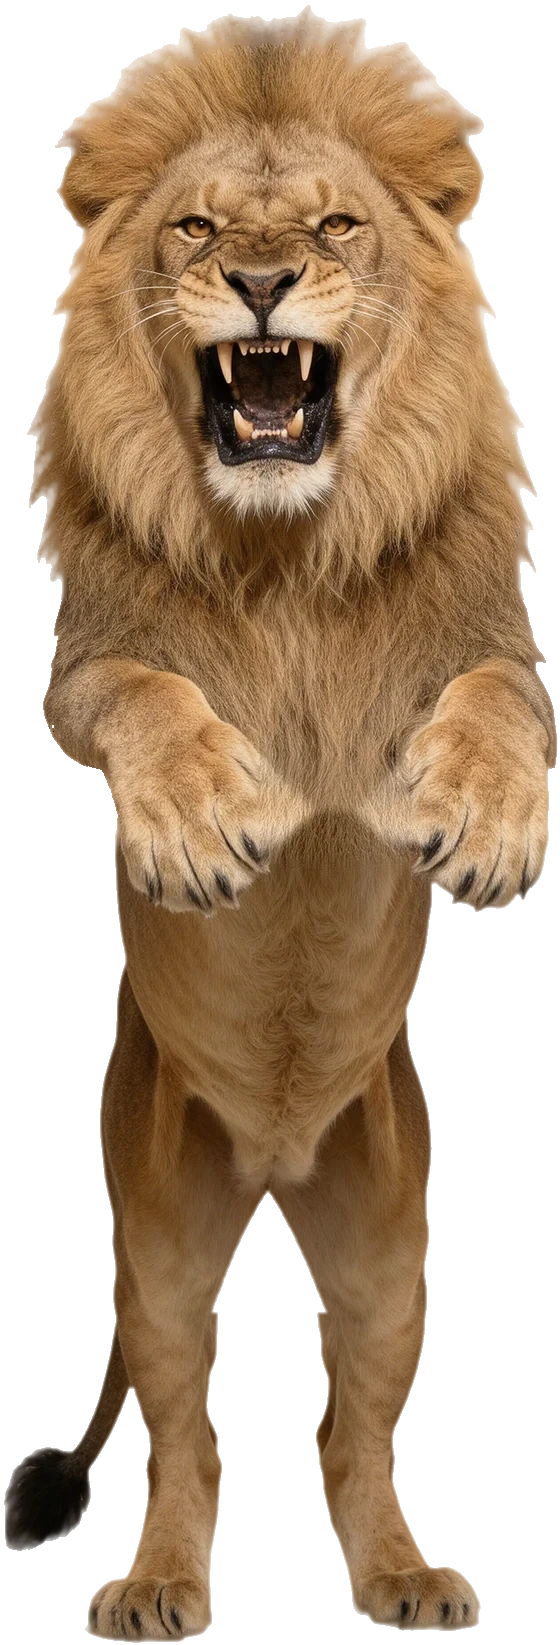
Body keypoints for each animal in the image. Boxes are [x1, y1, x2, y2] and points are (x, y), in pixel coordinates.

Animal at [15, 13, 553, 1639]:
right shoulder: (86, 664)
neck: (283, 555)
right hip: (155, 1264)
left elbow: (503, 700)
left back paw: (408, 1576)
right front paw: (201, 820)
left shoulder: (485, 646)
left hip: (392, 1267)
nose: (259, 281)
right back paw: (156, 1585)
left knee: (347, 1436)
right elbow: (143, 693)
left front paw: (486, 821)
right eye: (196, 230)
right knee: (191, 1440)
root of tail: (266, 1184)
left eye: (334, 228)